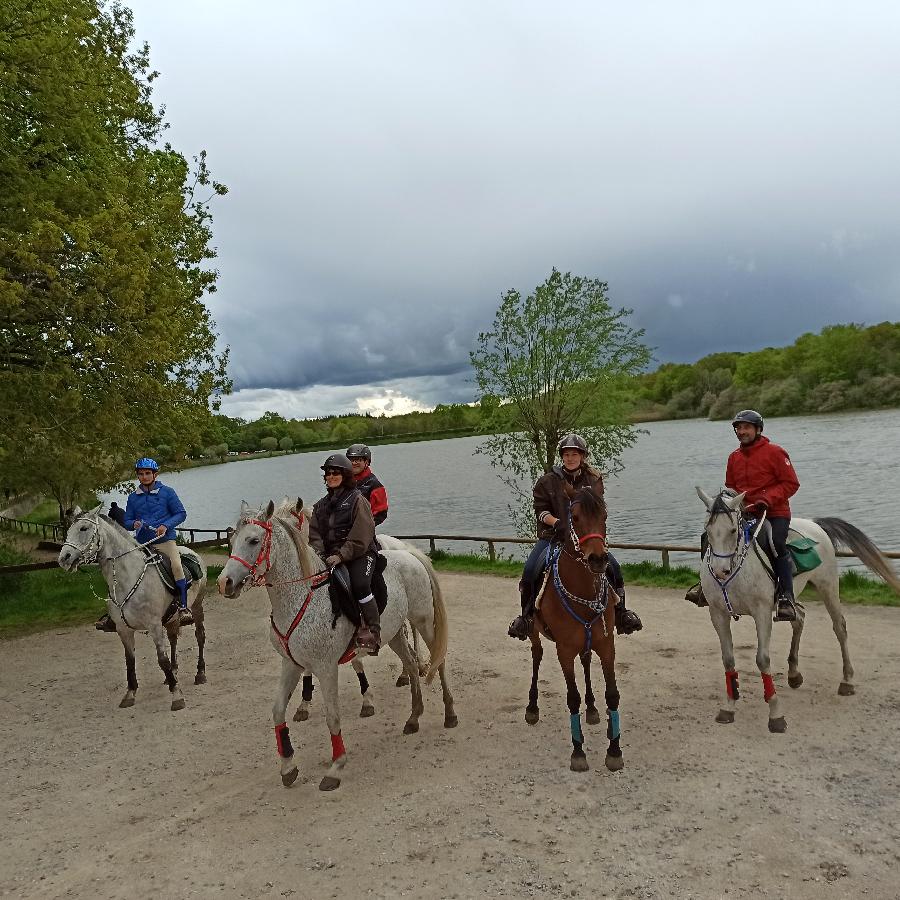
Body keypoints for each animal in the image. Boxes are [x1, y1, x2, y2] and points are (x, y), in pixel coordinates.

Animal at [57, 506, 208, 712]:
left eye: (84, 528)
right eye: (69, 530)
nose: (63, 558)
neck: (126, 578)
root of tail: (190, 552)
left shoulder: (154, 626)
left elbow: (162, 659)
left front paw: (177, 695)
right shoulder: (123, 630)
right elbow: (130, 661)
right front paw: (130, 694)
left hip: (197, 606)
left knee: (199, 636)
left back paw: (200, 673)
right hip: (171, 618)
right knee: (173, 639)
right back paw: (174, 672)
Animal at [217, 500, 458, 788]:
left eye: (253, 540)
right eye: (232, 540)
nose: (224, 583)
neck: (303, 595)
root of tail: (410, 555)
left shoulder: (326, 667)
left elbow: (333, 716)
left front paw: (336, 766)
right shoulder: (291, 664)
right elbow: (277, 711)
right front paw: (288, 766)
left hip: (423, 622)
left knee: (438, 660)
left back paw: (449, 713)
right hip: (394, 634)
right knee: (410, 664)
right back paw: (413, 717)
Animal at [524, 486, 624, 772]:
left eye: (604, 515)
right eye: (575, 517)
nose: (598, 558)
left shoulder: (606, 645)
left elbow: (612, 695)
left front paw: (614, 749)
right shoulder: (564, 651)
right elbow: (572, 698)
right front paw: (578, 751)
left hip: (588, 641)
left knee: (586, 660)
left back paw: (592, 708)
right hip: (534, 633)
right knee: (536, 656)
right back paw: (532, 707)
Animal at [696, 488, 900, 736]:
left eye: (733, 530)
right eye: (708, 530)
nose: (720, 571)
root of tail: (815, 524)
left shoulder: (762, 613)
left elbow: (762, 659)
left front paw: (775, 714)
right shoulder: (718, 615)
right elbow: (728, 660)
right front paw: (729, 707)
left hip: (828, 586)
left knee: (839, 628)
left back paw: (847, 681)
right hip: (793, 600)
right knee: (799, 619)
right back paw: (794, 675)